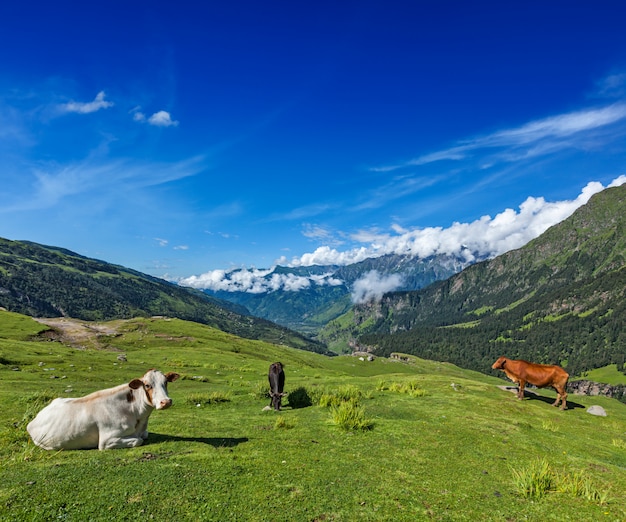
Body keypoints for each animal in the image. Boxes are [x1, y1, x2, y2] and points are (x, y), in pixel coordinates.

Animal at [28, 368, 179, 448]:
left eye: (165, 382)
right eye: (147, 385)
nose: (166, 402)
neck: (138, 418)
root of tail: (34, 420)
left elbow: (144, 436)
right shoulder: (107, 440)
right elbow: (138, 441)